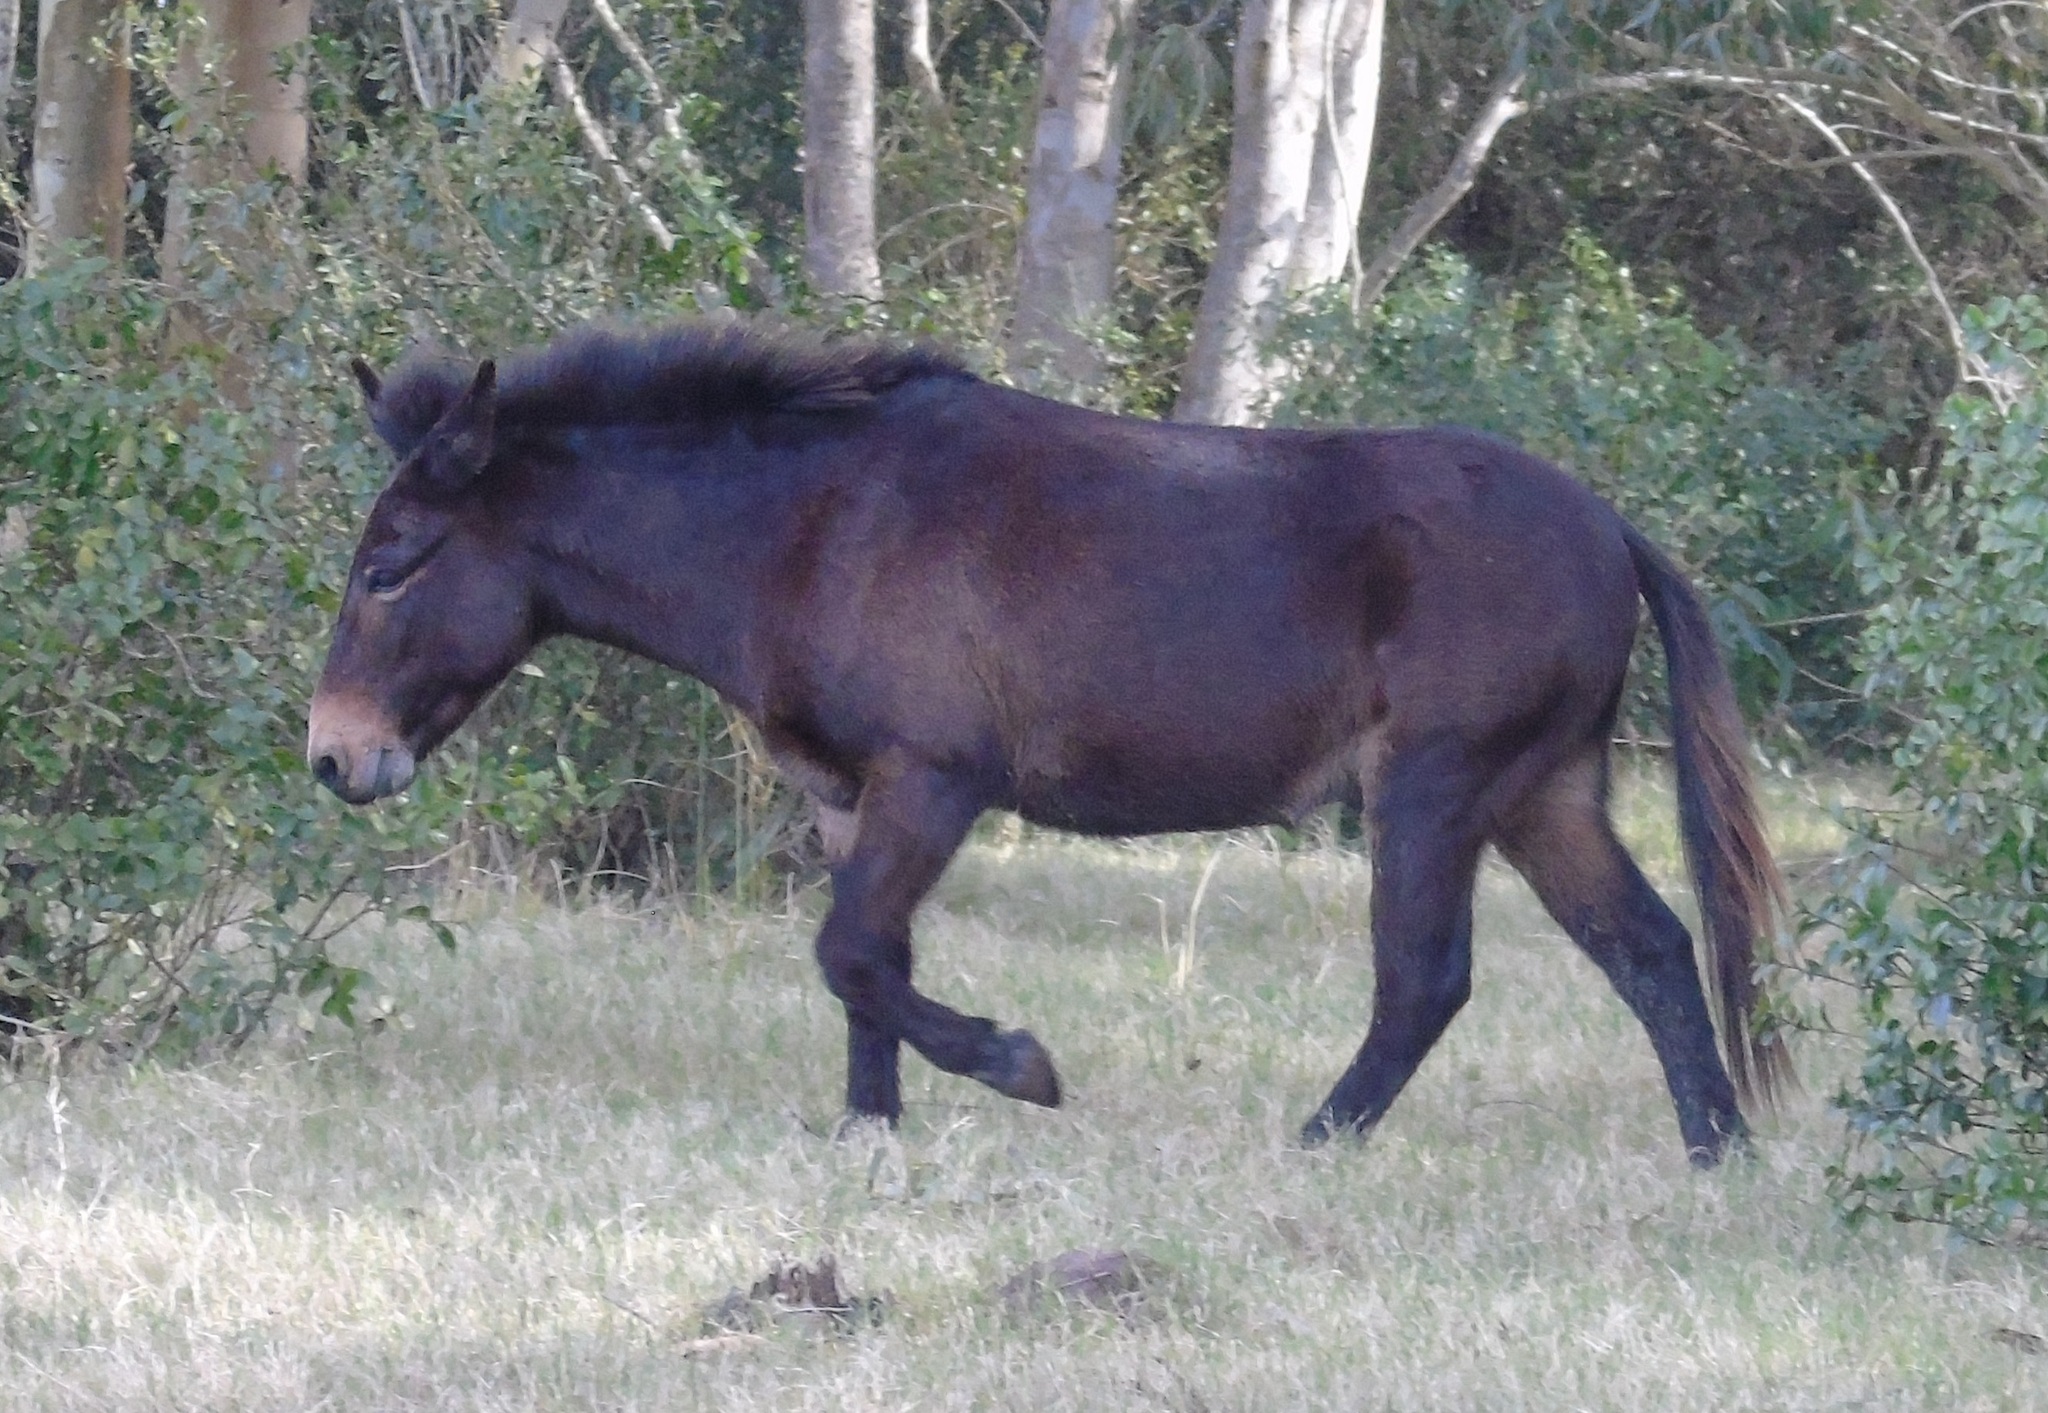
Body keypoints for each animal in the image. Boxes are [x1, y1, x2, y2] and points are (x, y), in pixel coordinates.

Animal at [308, 320, 1788, 1166]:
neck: (812, 522)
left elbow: (849, 951)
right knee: (1652, 950)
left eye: (393, 563)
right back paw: (1719, 1153)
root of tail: (1609, 530)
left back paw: (1312, 1144)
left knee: (1426, 982)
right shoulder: (849, 795)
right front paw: (867, 1135)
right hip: (1541, 794)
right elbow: (866, 967)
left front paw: (1015, 1067)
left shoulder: (934, 780)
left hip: (1435, 792)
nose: (333, 756)